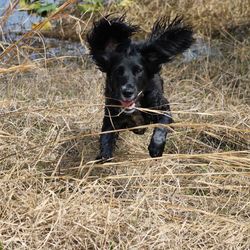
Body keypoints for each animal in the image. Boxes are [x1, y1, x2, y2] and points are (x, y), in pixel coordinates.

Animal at [87, 15, 194, 160]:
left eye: (139, 71)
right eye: (118, 71)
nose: (127, 92)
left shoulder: (162, 107)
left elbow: (161, 127)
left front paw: (156, 148)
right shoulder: (111, 115)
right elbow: (106, 137)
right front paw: (104, 156)